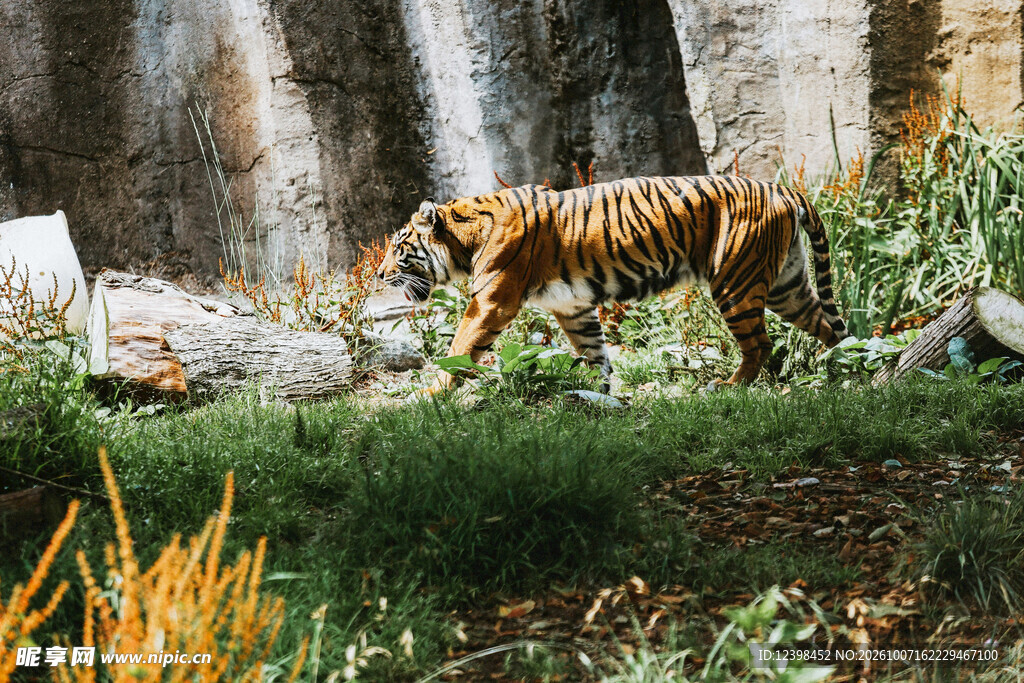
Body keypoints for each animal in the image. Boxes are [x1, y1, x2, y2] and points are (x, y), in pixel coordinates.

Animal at [377, 175, 849, 396]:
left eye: (399, 247)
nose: (379, 275)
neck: (464, 237)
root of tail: (782, 187)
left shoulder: (492, 301)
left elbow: (459, 349)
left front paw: (430, 395)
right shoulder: (573, 307)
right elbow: (595, 353)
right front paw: (597, 395)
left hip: (735, 281)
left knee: (760, 345)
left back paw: (729, 387)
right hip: (786, 285)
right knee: (830, 326)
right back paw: (847, 372)